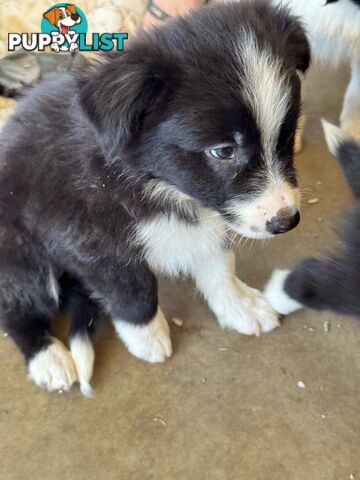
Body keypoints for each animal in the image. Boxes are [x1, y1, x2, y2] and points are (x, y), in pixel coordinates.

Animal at [0, 1, 310, 396]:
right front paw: (146, 337)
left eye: (288, 133)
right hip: (20, 253)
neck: (160, 183)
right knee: (16, 307)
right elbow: (133, 290)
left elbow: (219, 266)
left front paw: (239, 307)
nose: (286, 220)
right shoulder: (92, 240)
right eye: (224, 151)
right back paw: (49, 359)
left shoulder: (209, 215)